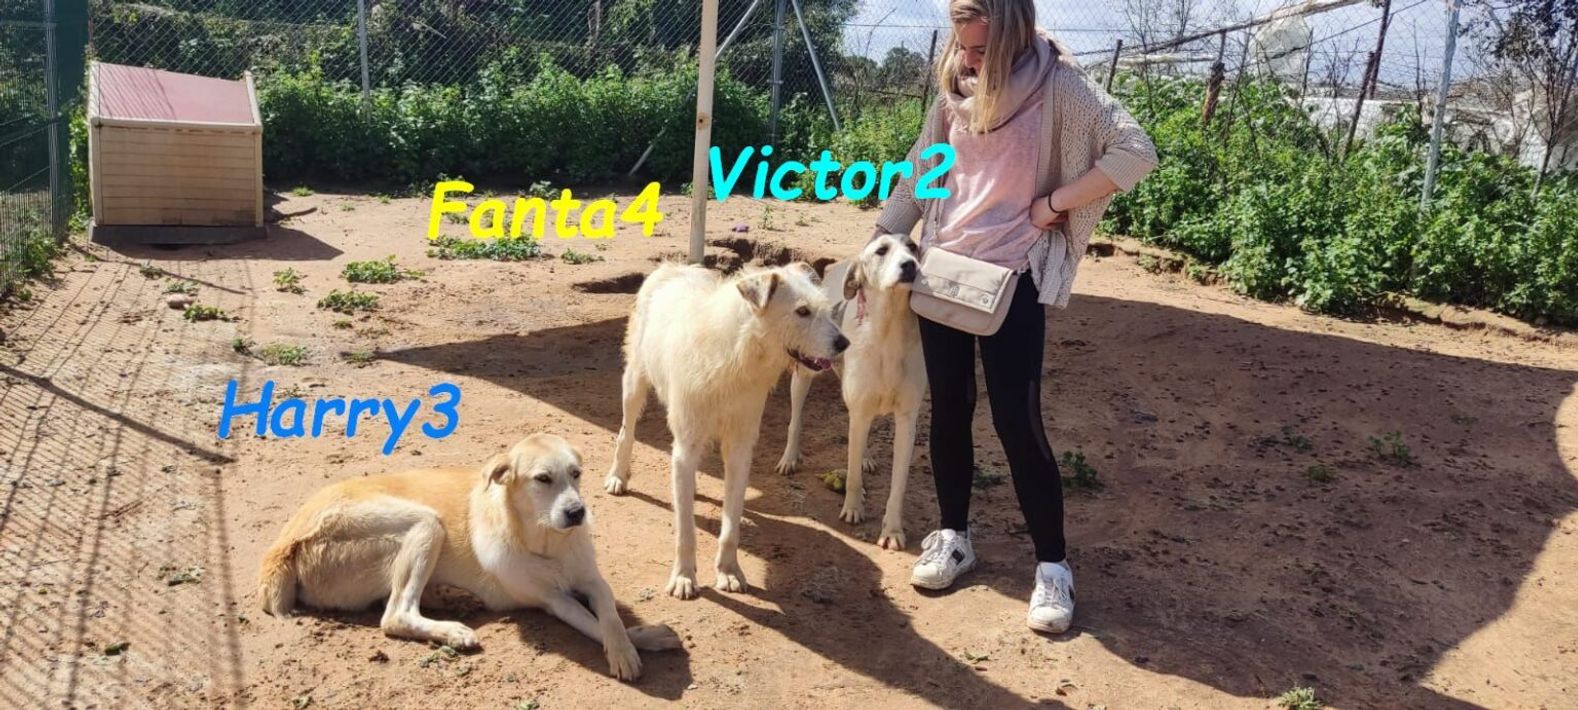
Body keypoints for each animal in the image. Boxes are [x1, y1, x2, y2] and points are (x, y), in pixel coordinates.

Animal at [257, 433, 680, 681]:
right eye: (543, 479)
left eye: (576, 474)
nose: (577, 513)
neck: (547, 543)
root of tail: (283, 545)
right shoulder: (551, 600)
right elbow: (591, 623)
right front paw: (628, 651)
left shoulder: (592, 580)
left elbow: (609, 616)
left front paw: (634, 640)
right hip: (425, 523)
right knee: (395, 615)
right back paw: (452, 630)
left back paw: (452, 598)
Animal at [604, 261, 847, 599]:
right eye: (802, 311)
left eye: (824, 309)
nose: (844, 344)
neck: (735, 355)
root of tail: (674, 265)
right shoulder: (686, 446)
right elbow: (685, 531)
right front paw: (683, 576)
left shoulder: (740, 449)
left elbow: (731, 523)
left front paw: (729, 571)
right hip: (634, 383)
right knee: (626, 433)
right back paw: (617, 476)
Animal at [775, 234, 926, 550]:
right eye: (881, 251)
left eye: (913, 248)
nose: (910, 265)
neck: (890, 332)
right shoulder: (859, 408)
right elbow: (853, 473)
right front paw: (853, 508)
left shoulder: (907, 419)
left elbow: (898, 486)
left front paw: (892, 530)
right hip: (805, 373)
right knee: (796, 419)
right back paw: (790, 458)